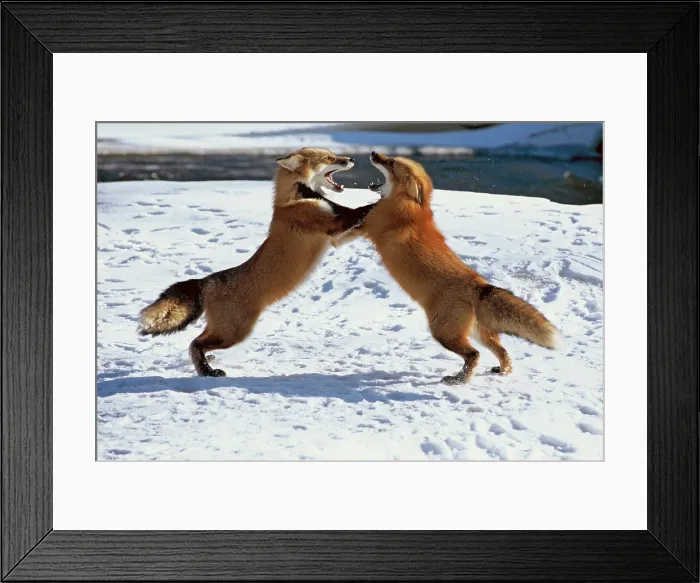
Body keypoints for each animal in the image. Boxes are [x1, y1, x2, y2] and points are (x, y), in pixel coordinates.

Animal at [138, 147, 374, 377]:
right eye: (328, 158)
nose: (352, 159)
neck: (295, 198)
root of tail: (209, 280)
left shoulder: (336, 238)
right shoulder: (329, 225)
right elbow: (359, 211)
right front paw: (376, 202)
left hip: (225, 329)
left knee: (196, 342)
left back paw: (207, 365)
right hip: (235, 332)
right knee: (194, 344)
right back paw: (207, 371)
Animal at [335, 151, 560, 385]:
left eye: (391, 163)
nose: (373, 153)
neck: (411, 206)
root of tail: (480, 285)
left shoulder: (366, 227)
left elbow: (345, 227)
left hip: (443, 332)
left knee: (474, 355)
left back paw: (458, 379)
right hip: (475, 333)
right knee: (502, 350)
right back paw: (502, 370)